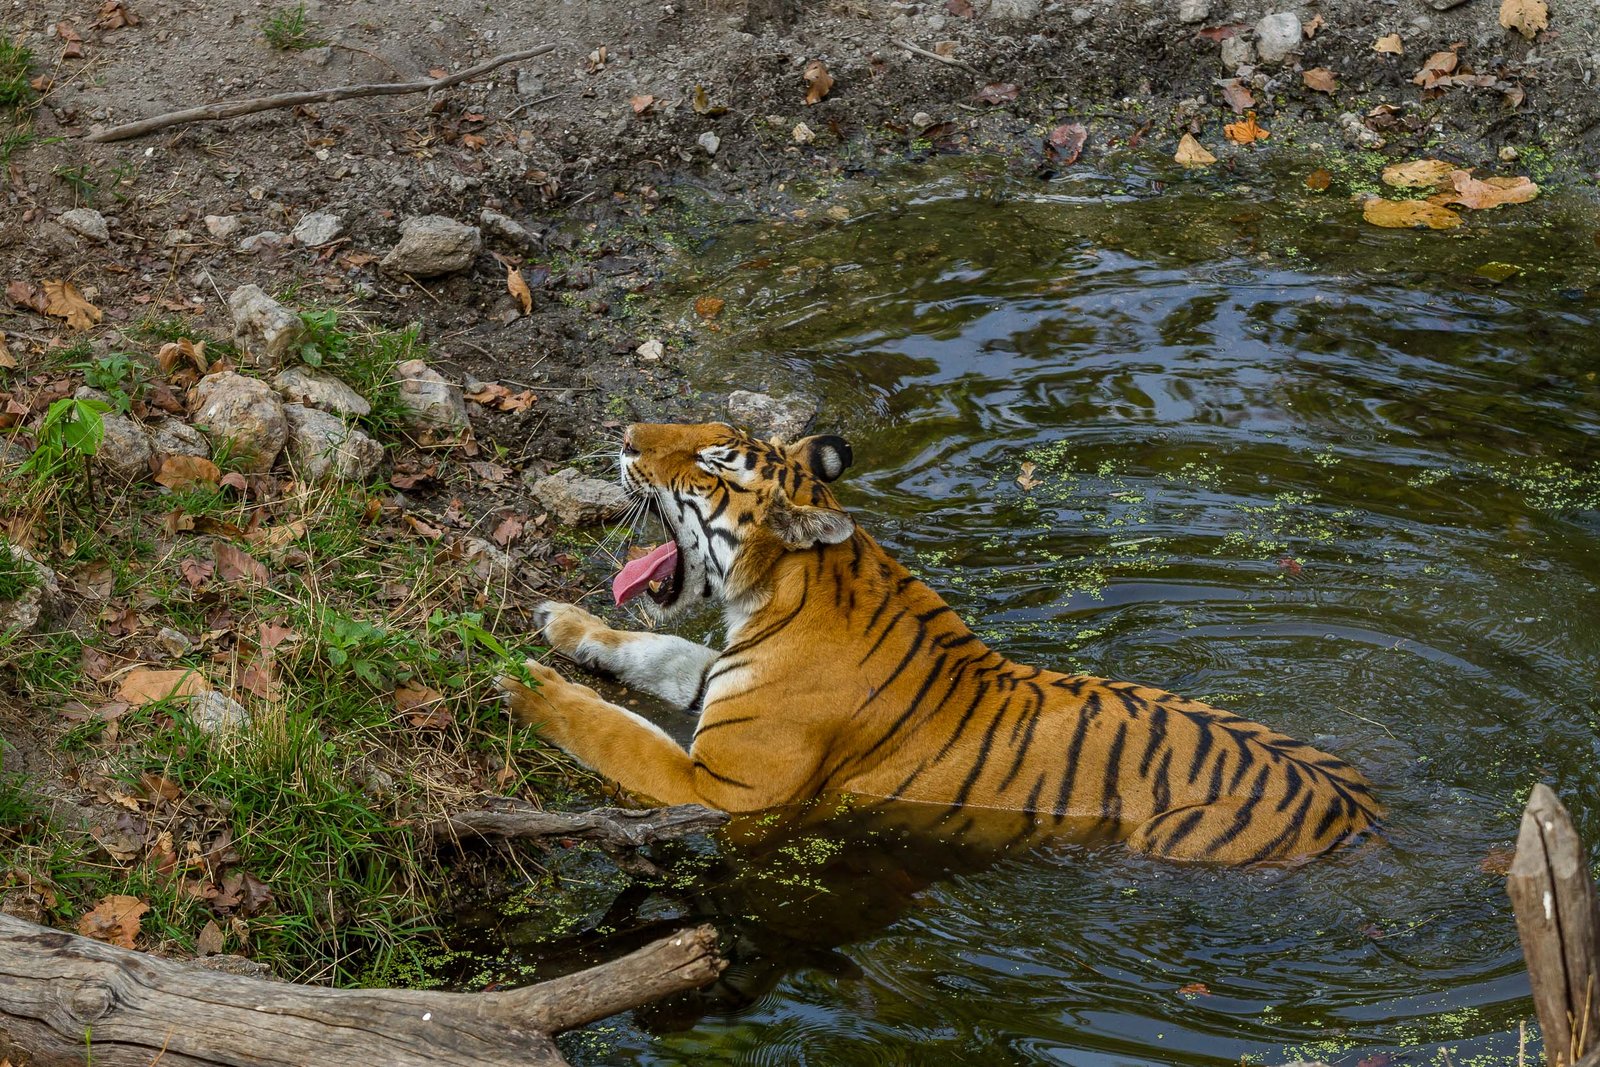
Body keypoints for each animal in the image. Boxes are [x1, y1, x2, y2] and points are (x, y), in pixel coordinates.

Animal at [499, 421, 1381, 864]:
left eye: (712, 460)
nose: (624, 434)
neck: (779, 595)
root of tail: (1364, 814)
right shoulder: (716, 686)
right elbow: (659, 653)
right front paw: (565, 624)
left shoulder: (725, 790)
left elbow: (611, 730)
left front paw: (523, 684)